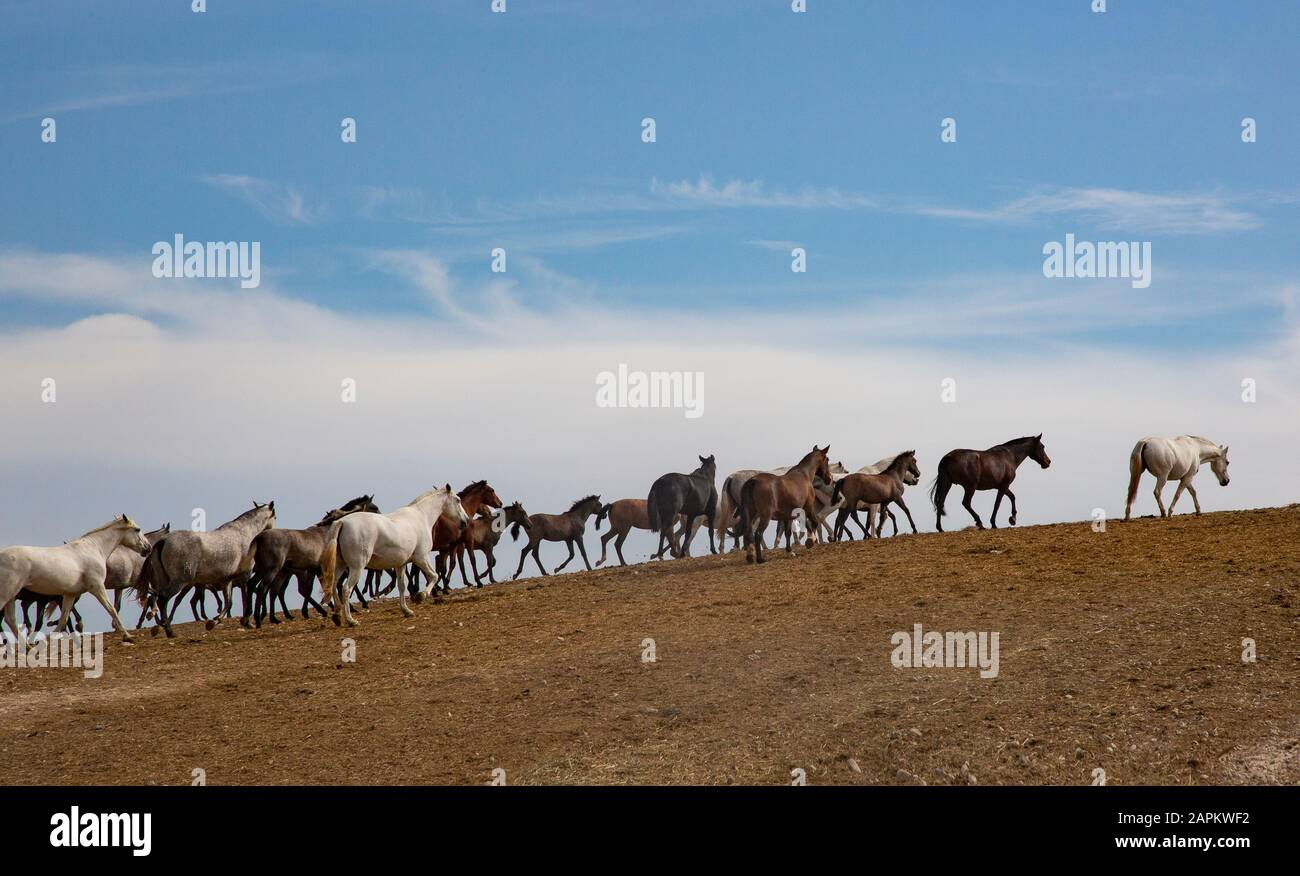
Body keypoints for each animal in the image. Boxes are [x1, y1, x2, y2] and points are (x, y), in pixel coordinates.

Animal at [1, 515, 152, 647]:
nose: (148, 547)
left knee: (10, 619)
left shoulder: (70, 594)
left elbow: (64, 619)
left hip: (12, 595)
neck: (94, 549)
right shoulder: (97, 587)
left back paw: (28, 647)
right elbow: (111, 609)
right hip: (8, 593)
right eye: (137, 529)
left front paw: (47, 640)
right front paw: (127, 635)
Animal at [133, 503, 276, 638]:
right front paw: (247, 622)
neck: (244, 533)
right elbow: (244, 598)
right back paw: (168, 630)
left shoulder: (226, 580)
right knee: (163, 599)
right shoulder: (244, 576)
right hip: (180, 582)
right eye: (275, 517)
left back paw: (158, 625)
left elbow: (228, 602)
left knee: (155, 598)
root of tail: (163, 541)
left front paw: (214, 622)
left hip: (165, 581)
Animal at [245, 495, 379, 628]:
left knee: (260, 587)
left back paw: (261, 618)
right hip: (273, 570)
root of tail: (259, 537)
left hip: (270, 570)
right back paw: (259, 619)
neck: (329, 532)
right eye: (374, 507)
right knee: (264, 588)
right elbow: (331, 587)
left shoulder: (317, 570)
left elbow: (318, 588)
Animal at [318, 485, 468, 626]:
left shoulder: (401, 564)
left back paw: (337, 616)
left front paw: (406, 611)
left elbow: (402, 585)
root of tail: (342, 522)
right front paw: (421, 596)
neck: (420, 517)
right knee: (346, 589)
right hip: (356, 568)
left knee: (333, 586)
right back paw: (351, 620)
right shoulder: (421, 557)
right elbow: (434, 576)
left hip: (340, 566)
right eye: (458, 500)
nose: (466, 521)